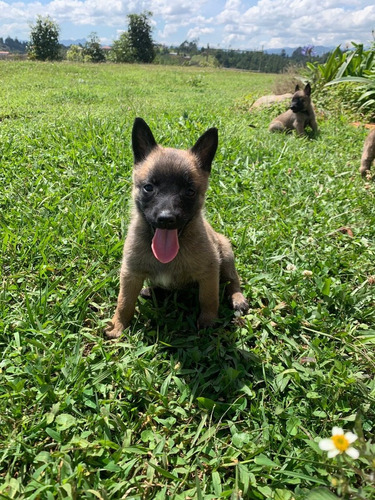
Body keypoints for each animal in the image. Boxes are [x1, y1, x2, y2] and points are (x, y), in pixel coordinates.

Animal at [106, 116, 250, 340]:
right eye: (148, 188)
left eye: (189, 191)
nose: (166, 219)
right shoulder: (131, 274)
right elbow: (124, 302)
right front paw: (118, 325)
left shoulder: (209, 273)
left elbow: (209, 299)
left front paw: (208, 322)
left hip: (226, 255)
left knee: (232, 279)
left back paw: (237, 298)